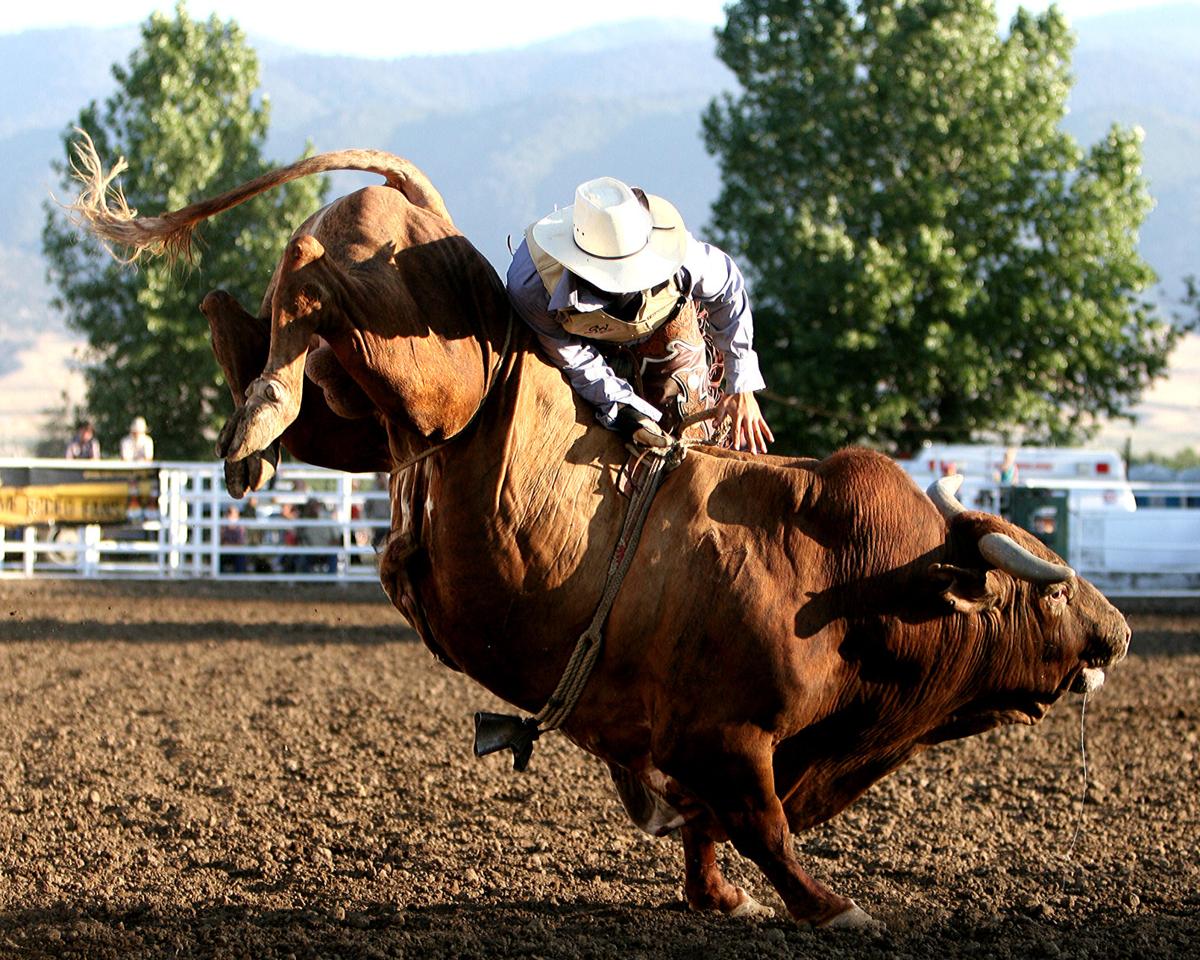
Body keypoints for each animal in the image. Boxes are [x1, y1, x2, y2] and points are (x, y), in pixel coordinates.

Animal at [68, 139, 1130, 930]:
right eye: (1045, 593)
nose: (1117, 633)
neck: (849, 578)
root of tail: (426, 208)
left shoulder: (731, 751)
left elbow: (711, 827)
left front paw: (720, 899)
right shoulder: (734, 738)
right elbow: (764, 823)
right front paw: (833, 907)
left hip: (379, 417)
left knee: (259, 333)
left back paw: (249, 414)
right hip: (433, 364)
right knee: (307, 281)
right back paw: (261, 408)